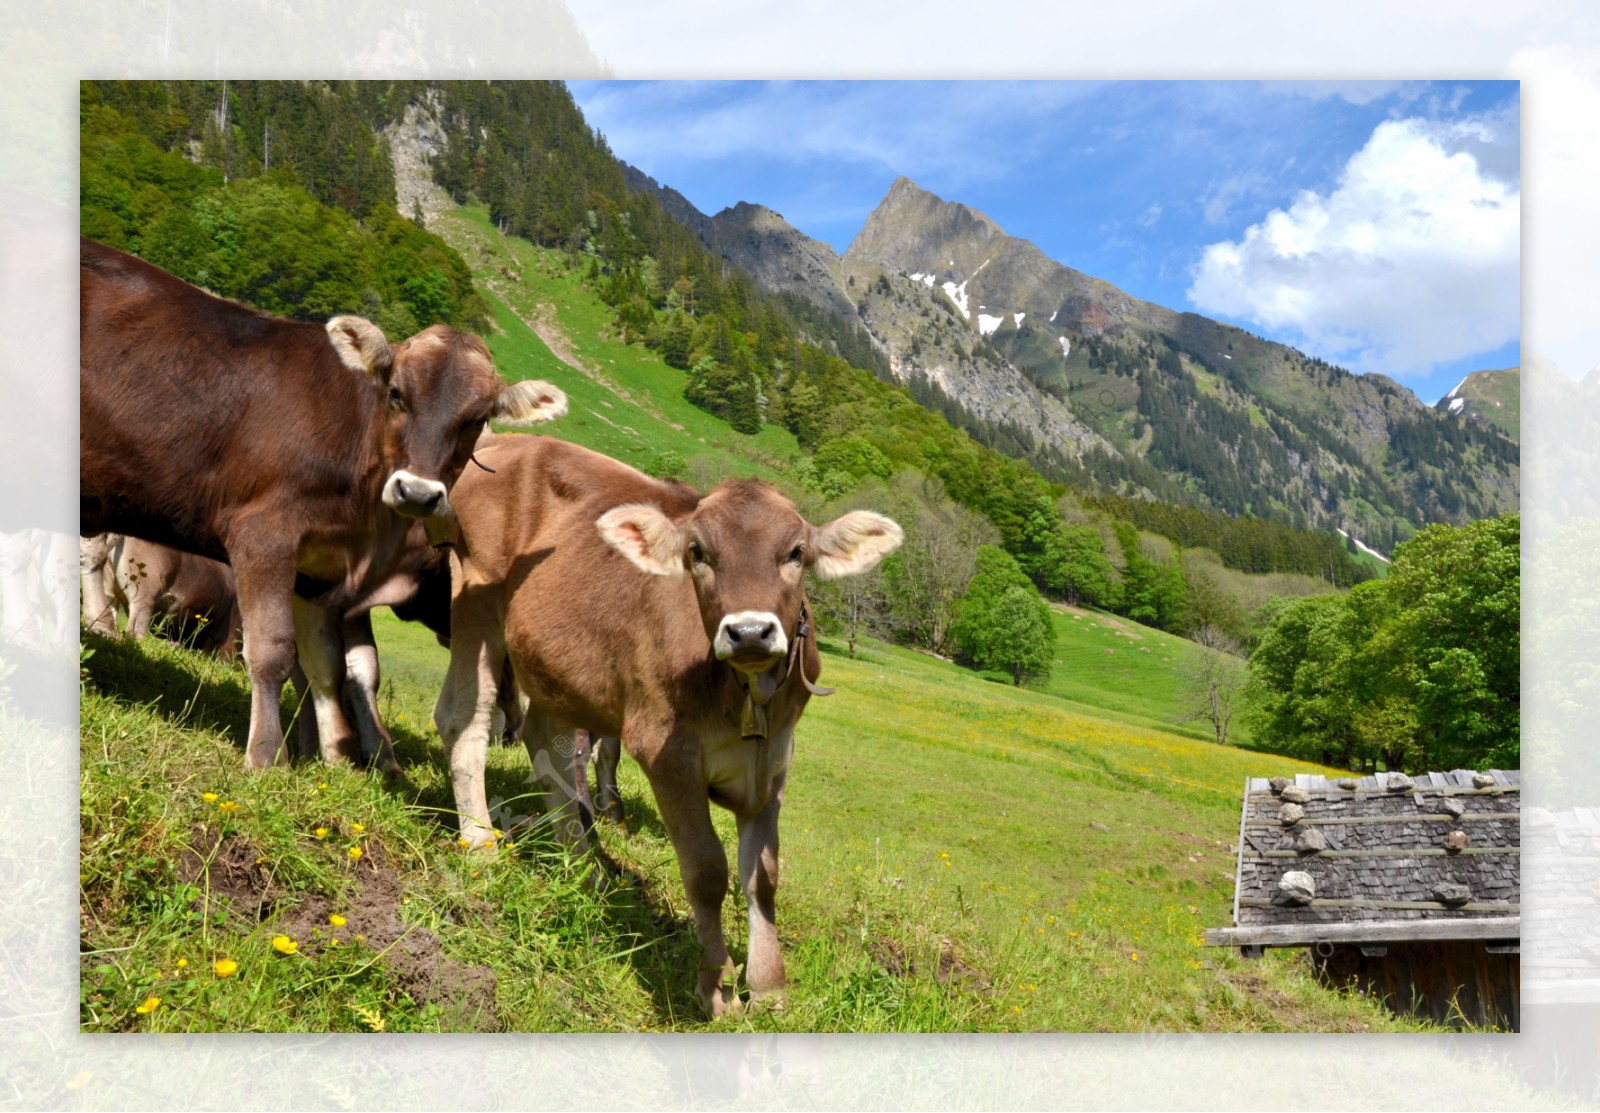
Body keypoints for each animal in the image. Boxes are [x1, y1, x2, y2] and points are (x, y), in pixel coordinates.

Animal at [82, 239, 569, 770]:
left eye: (476, 420)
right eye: (395, 393)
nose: (417, 493)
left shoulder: (318, 573)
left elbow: (330, 666)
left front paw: (337, 754)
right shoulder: (264, 534)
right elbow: (274, 650)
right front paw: (268, 756)